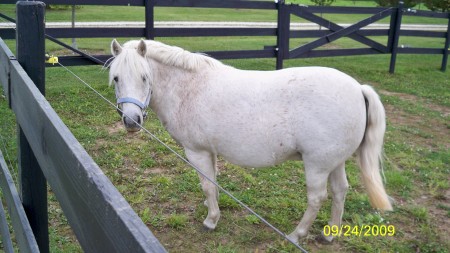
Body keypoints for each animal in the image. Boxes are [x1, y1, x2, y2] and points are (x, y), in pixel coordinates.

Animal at [108, 39, 390, 243]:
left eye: (145, 77)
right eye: (116, 78)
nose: (131, 121)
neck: (189, 86)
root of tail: (358, 88)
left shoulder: (196, 151)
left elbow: (207, 185)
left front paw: (211, 220)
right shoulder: (209, 151)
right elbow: (213, 183)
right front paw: (212, 208)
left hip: (317, 165)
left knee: (317, 198)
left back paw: (296, 235)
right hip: (334, 162)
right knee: (340, 191)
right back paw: (330, 234)